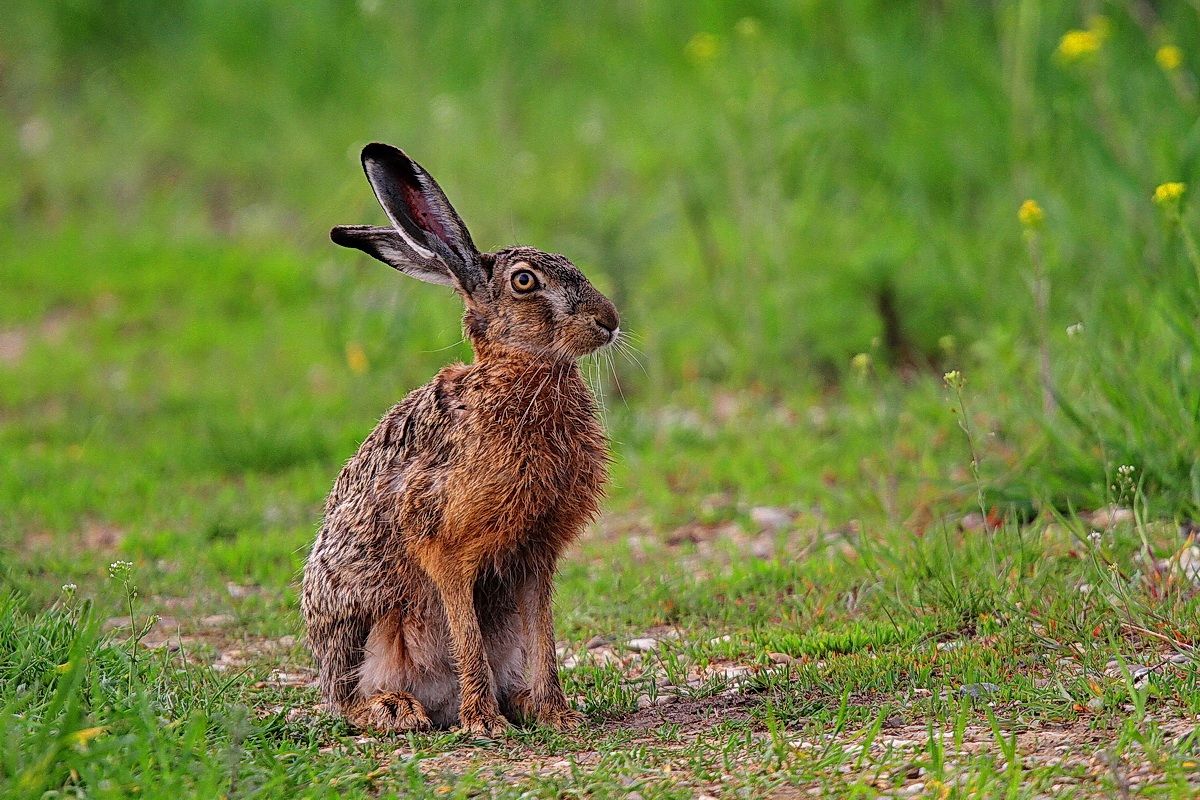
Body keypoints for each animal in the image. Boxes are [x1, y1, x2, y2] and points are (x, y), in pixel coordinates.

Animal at [301, 143, 618, 736]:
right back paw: (398, 709)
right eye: (524, 282)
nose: (608, 321)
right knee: (349, 700)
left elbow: (545, 636)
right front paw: (484, 724)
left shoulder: (536, 555)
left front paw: (558, 716)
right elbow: (464, 630)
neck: (516, 373)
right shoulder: (443, 542)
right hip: (364, 627)